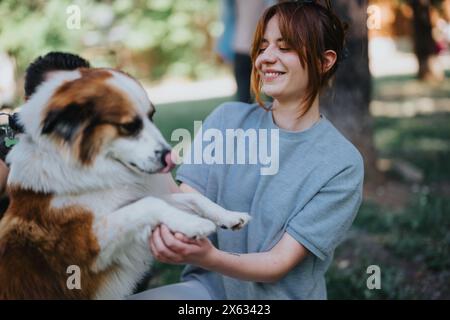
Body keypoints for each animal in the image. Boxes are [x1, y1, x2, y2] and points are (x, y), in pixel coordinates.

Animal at [0, 68, 250, 300]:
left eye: (151, 116)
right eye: (129, 126)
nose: (171, 158)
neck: (87, 169)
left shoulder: (129, 198)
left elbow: (191, 197)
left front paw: (230, 216)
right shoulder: (85, 244)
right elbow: (149, 205)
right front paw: (194, 224)